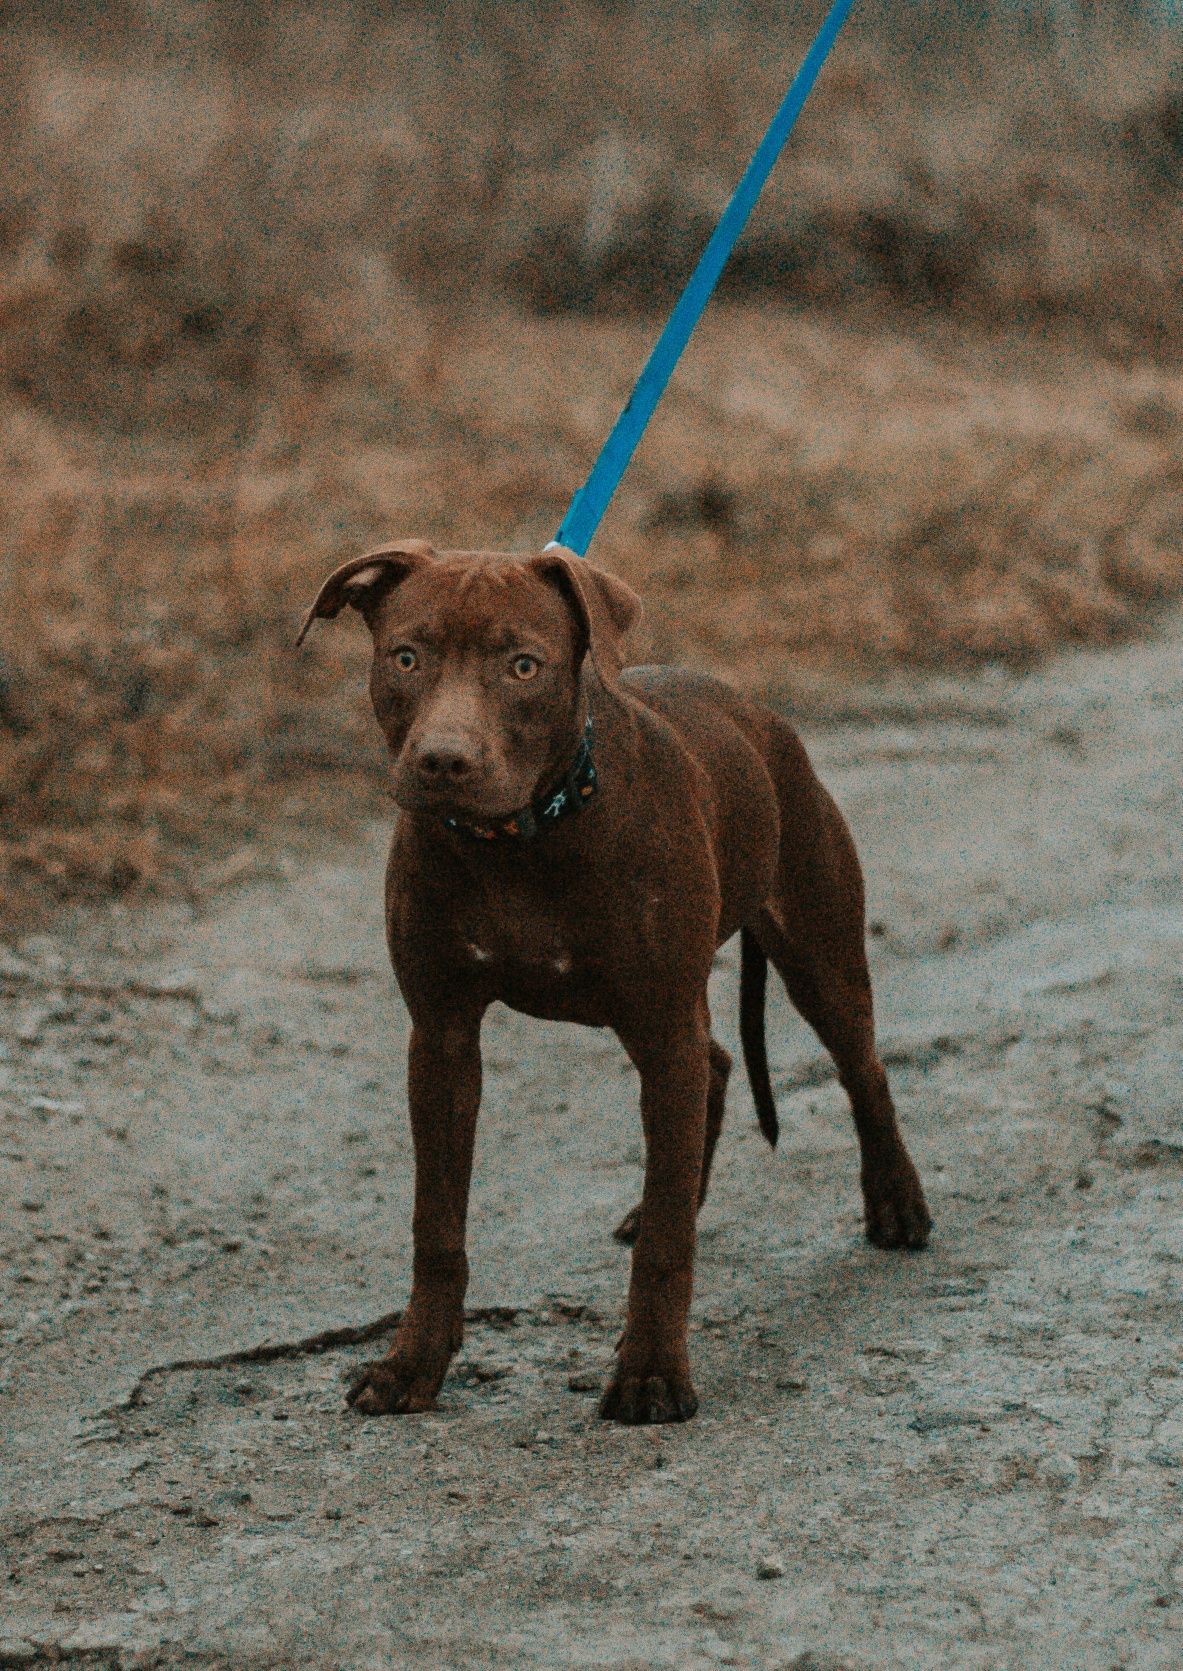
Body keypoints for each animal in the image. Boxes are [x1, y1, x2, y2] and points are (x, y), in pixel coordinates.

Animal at [300, 541, 929, 1430]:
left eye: (524, 665)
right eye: (406, 657)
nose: (443, 761)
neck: (520, 840)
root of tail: (760, 715)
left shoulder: (659, 1026)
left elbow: (667, 1246)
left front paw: (651, 1373)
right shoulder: (443, 1038)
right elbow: (437, 1223)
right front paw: (412, 1362)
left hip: (815, 946)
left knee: (860, 1067)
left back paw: (896, 1202)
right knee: (718, 1064)